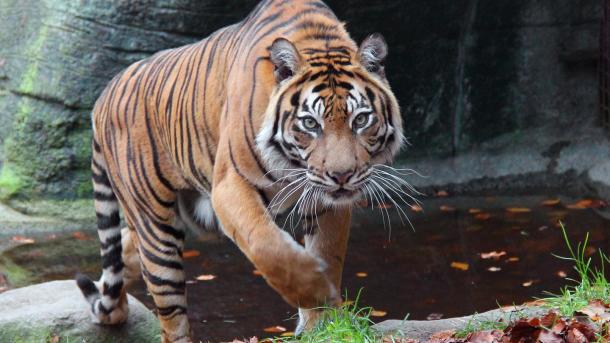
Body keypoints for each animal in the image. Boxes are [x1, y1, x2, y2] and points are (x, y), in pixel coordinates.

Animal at [75, 0, 404, 342]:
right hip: (156, 225)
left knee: (125, 249)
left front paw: (322, 324)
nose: (342, 176)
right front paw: (316, 291)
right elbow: (268, 246)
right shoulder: (230, 185)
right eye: (310, 123)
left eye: (361, 120)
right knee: (170, 312)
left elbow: (328, 251)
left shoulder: (325, 200)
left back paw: (113, 308)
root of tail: (102, 97)